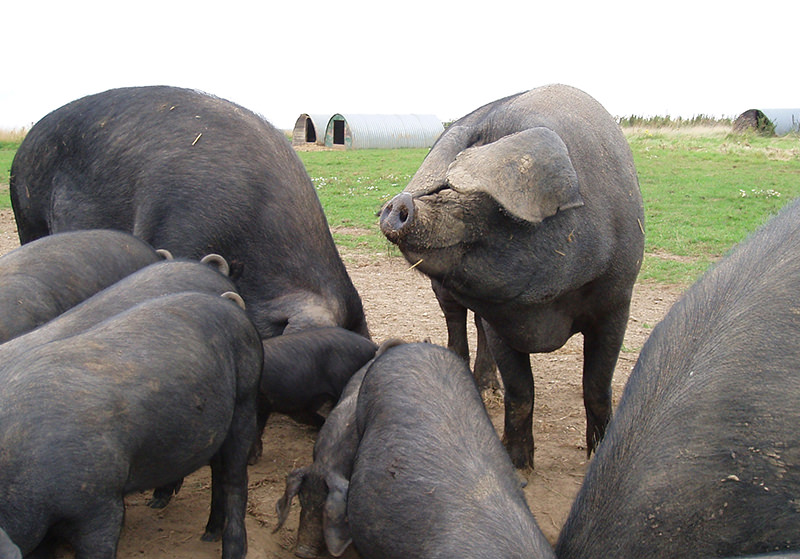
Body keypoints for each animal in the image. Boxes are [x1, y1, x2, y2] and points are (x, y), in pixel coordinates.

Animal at [0, 292, 263, 559]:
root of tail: (228, 304)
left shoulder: (100, 504)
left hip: (245, 399)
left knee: (234, 479)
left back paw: (232, 550)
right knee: (218, 472)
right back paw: (208, 534)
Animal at [380, 84, 644, 468]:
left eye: (490, 202)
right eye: (439, 186)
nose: (400, 203)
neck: (548, 307)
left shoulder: (617, 300)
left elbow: (596, 386)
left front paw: (597, 454)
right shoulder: (503, 318)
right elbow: (521, 392)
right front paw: (519, 465)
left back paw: (487, 387)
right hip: (441, 291)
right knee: (457, 324)